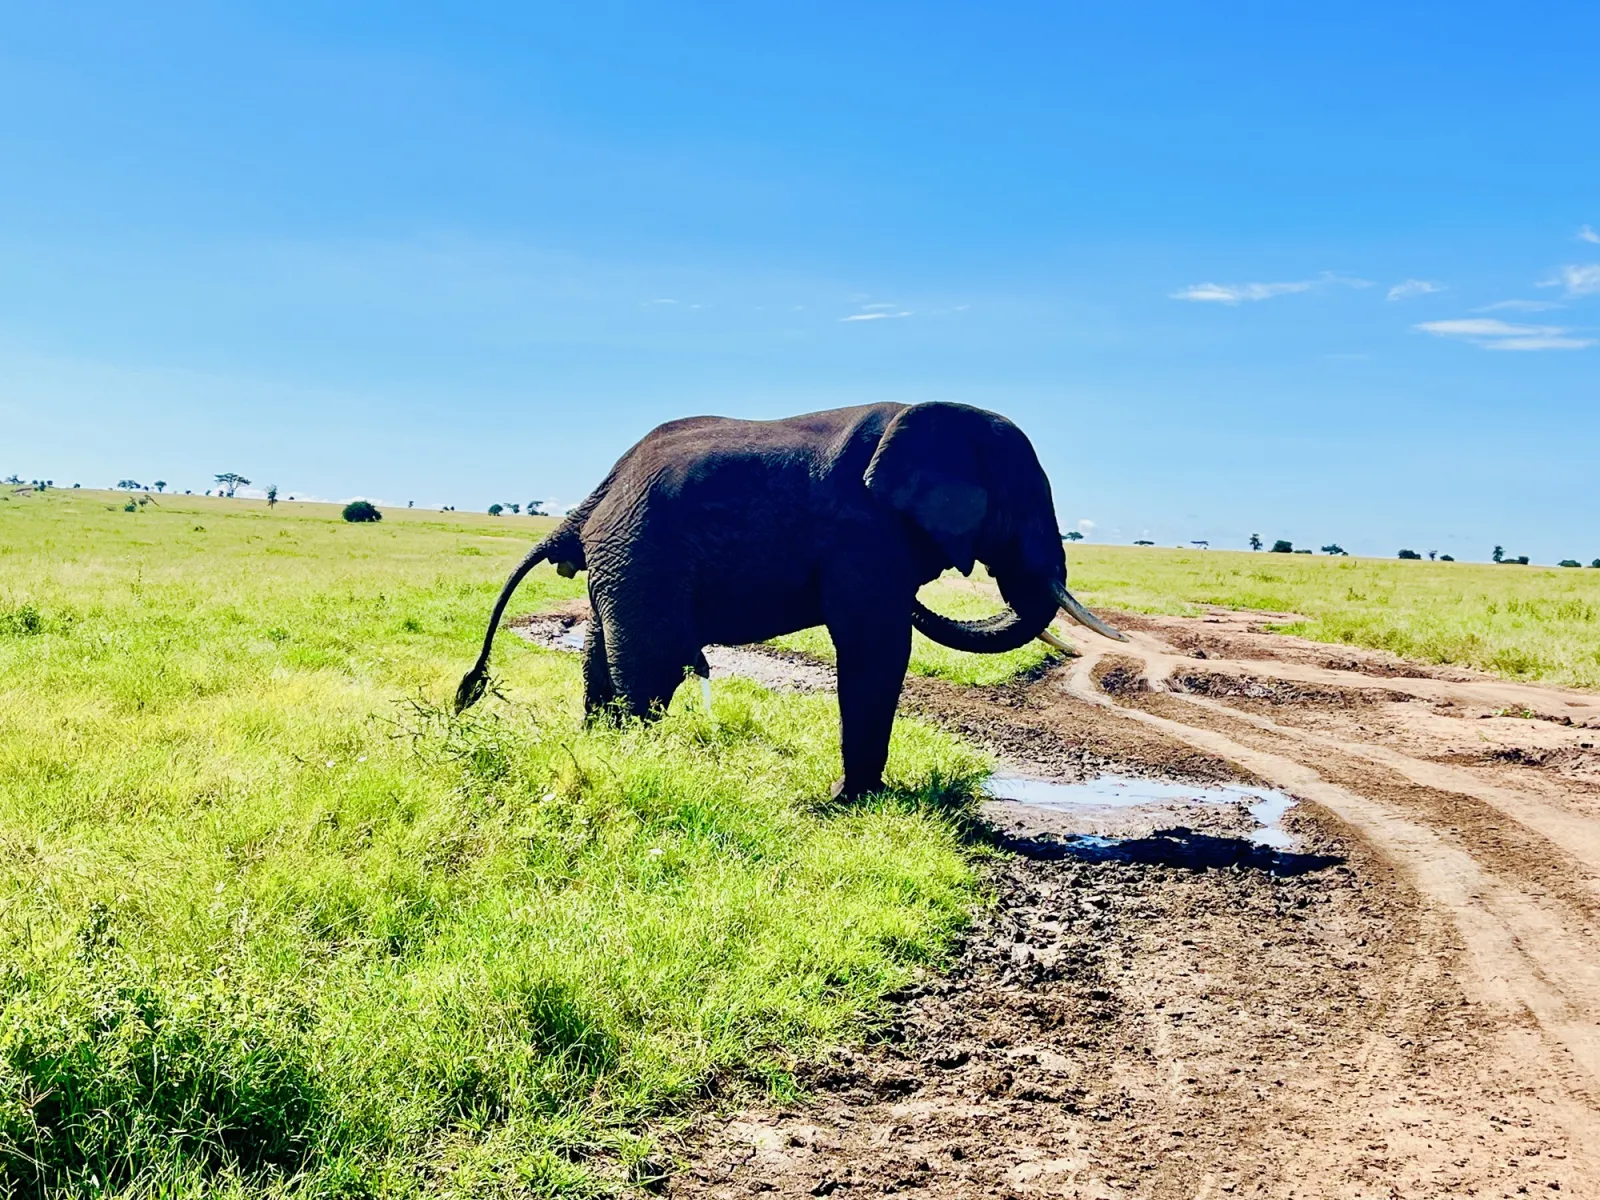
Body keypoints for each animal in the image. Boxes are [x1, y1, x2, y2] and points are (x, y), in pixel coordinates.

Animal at [455, 402, 1123, 799]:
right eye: (1028, 502)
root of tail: (593, 498)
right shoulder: (863, 535)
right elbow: (875, 645)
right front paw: (856, 803)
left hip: (623, 558)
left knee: (603, 646)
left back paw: (601, 748)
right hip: (643, 552)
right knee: (654, 660)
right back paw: (640, 761)